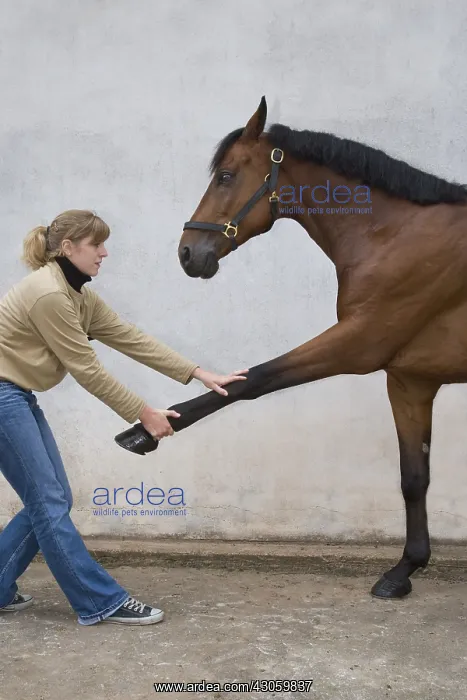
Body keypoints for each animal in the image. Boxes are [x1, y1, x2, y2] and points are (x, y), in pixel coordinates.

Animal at [167, 96, 467, 600]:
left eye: (225, 175)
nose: (188, 254)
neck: (397, 235)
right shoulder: (410, 379)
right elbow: (413, 478)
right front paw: (404, 568)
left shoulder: (358, 343)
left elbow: (255, 378)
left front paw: (146, 431)